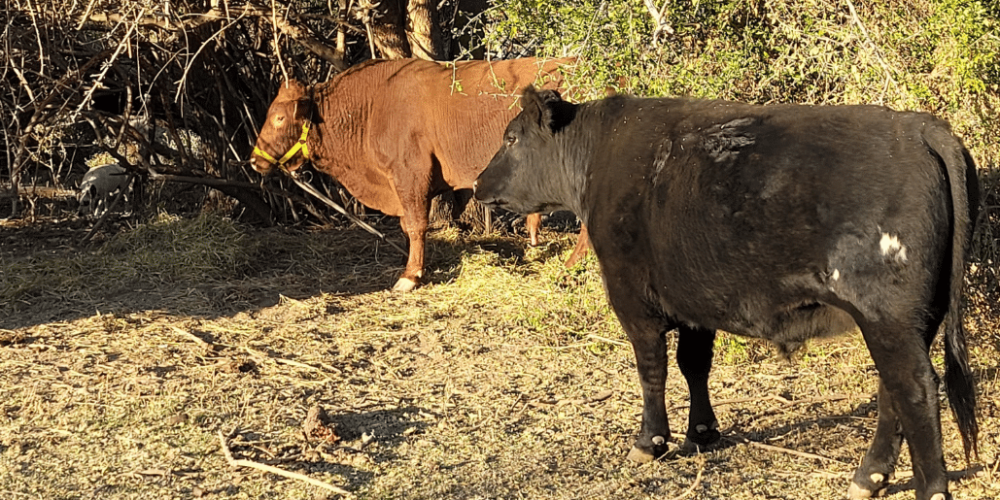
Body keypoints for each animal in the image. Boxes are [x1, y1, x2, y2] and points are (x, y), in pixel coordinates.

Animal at [250, 58, 588, 292]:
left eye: (279, 118)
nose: (254, 160)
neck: (372, 108)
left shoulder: (410, 174)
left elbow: (414, 225)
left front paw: (410, 276)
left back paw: (570, 268)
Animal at [474, 88, 976, 500]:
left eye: (512, 138)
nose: (478, 184)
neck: (598, 156)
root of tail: (917, 127)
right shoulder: (695, 301)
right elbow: (694, 365)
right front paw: (701, 432)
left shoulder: (632, 296)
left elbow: (652, 370)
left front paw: (650, 442)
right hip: (910, 321)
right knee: (893, 391)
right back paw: (867, 479)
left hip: (887, 316)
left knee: (915, 388)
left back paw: (930, 489)